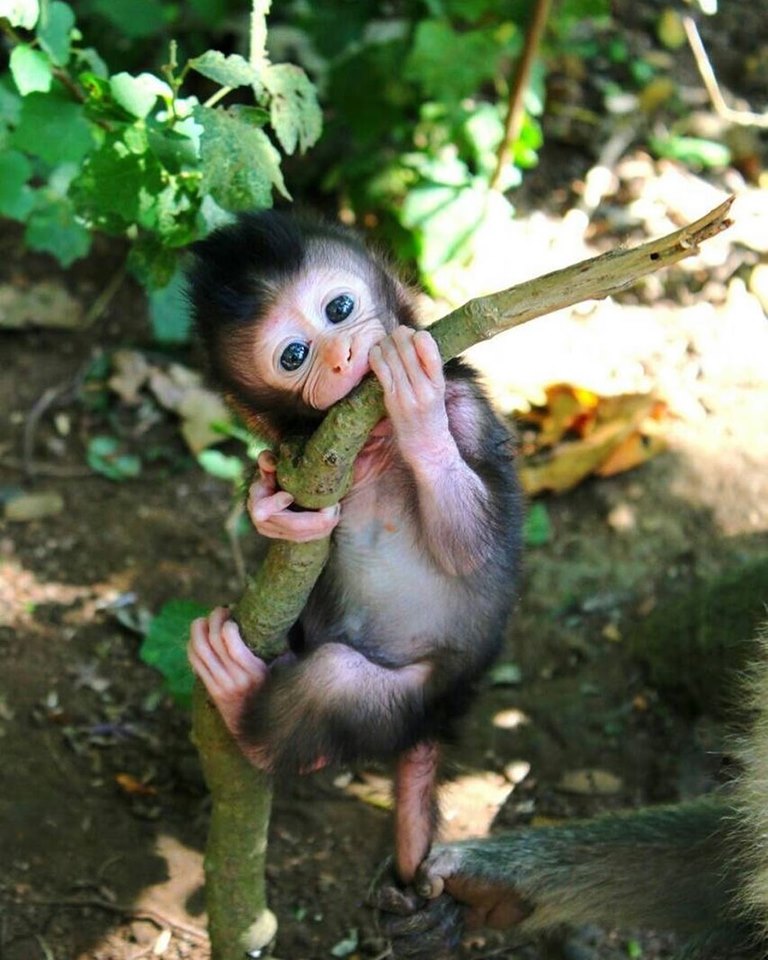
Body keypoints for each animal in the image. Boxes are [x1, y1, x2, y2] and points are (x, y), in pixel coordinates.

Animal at [187, 212, 520, 884]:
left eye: (339, 308)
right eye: (294, 355)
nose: (341, 353)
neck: (372, 437)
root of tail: (443, 713)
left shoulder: (468, 410)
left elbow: (475, 552)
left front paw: (418, 406)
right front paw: (270, 510)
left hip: (412, 697)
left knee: (331, 686)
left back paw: (239, 701)